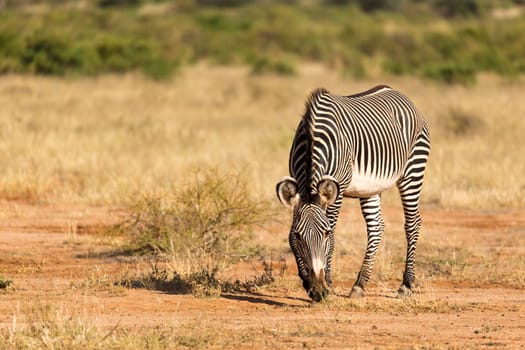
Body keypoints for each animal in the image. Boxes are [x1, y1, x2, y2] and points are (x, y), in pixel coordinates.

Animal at [276, 85, 428, 300]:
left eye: (325, 234)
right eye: (298, 236)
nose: (318, 291)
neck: (313, 137)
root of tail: (398, 93)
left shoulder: (337, 190)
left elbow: (333, 228)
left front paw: (328, 281)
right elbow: (290, 234)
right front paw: (307, 282)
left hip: (413, 171)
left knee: (412, 224)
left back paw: (406, 284)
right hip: (370, 188)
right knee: (376, 227)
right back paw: (359, 285)